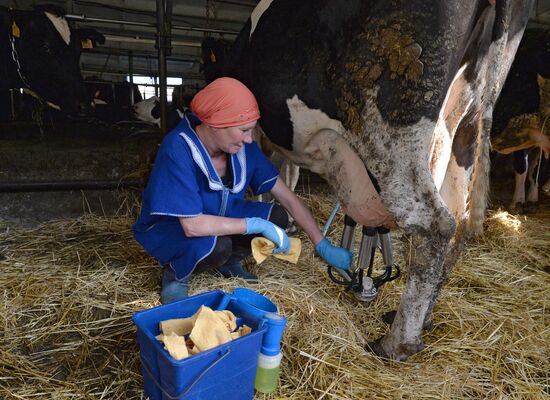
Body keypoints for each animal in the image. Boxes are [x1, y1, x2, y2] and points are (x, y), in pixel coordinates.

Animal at [224, 0, 536, 360]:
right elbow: (284, 176)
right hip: (465, 127)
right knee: (460, 223)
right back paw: (424, 318)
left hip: (392, 124)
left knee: (434, 223)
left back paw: (397, 343)